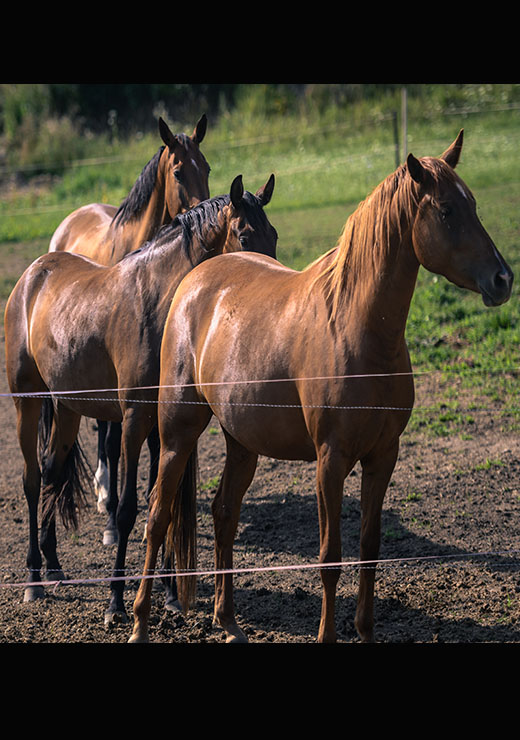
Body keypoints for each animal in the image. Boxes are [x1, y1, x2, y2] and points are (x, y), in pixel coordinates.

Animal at [4, 176, 278, 628]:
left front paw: (168, 593)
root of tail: (33, 273)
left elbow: (160, 502)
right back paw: (33, 579)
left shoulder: (167, 426)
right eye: (244, 235)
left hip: (67, 407)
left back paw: (54, 563)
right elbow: (129, 508)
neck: (160, 304)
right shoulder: (134, 419)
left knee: (52, 473)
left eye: (273, 235)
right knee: (31, 479)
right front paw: (117, 600)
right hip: (27, 400)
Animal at [49, 115, 211, 516]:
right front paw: (112, 500)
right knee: (104, 431)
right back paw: (104, 489)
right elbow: (114, 437)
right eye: (179, 171)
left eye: (207, 167)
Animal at [129, 132, 512, 640]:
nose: (503, 278)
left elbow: (369, 549)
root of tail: (195, 280)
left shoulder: (383, 456)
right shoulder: (330, 461)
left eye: (474, 205)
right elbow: (331, 557)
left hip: (242, 441)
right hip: (177, 432)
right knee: (157, 516)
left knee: (224, 513)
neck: (356, 327)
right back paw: (138, 620)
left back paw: (228, 621)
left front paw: (365, 631)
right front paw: (328, 633)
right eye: (448, 210)